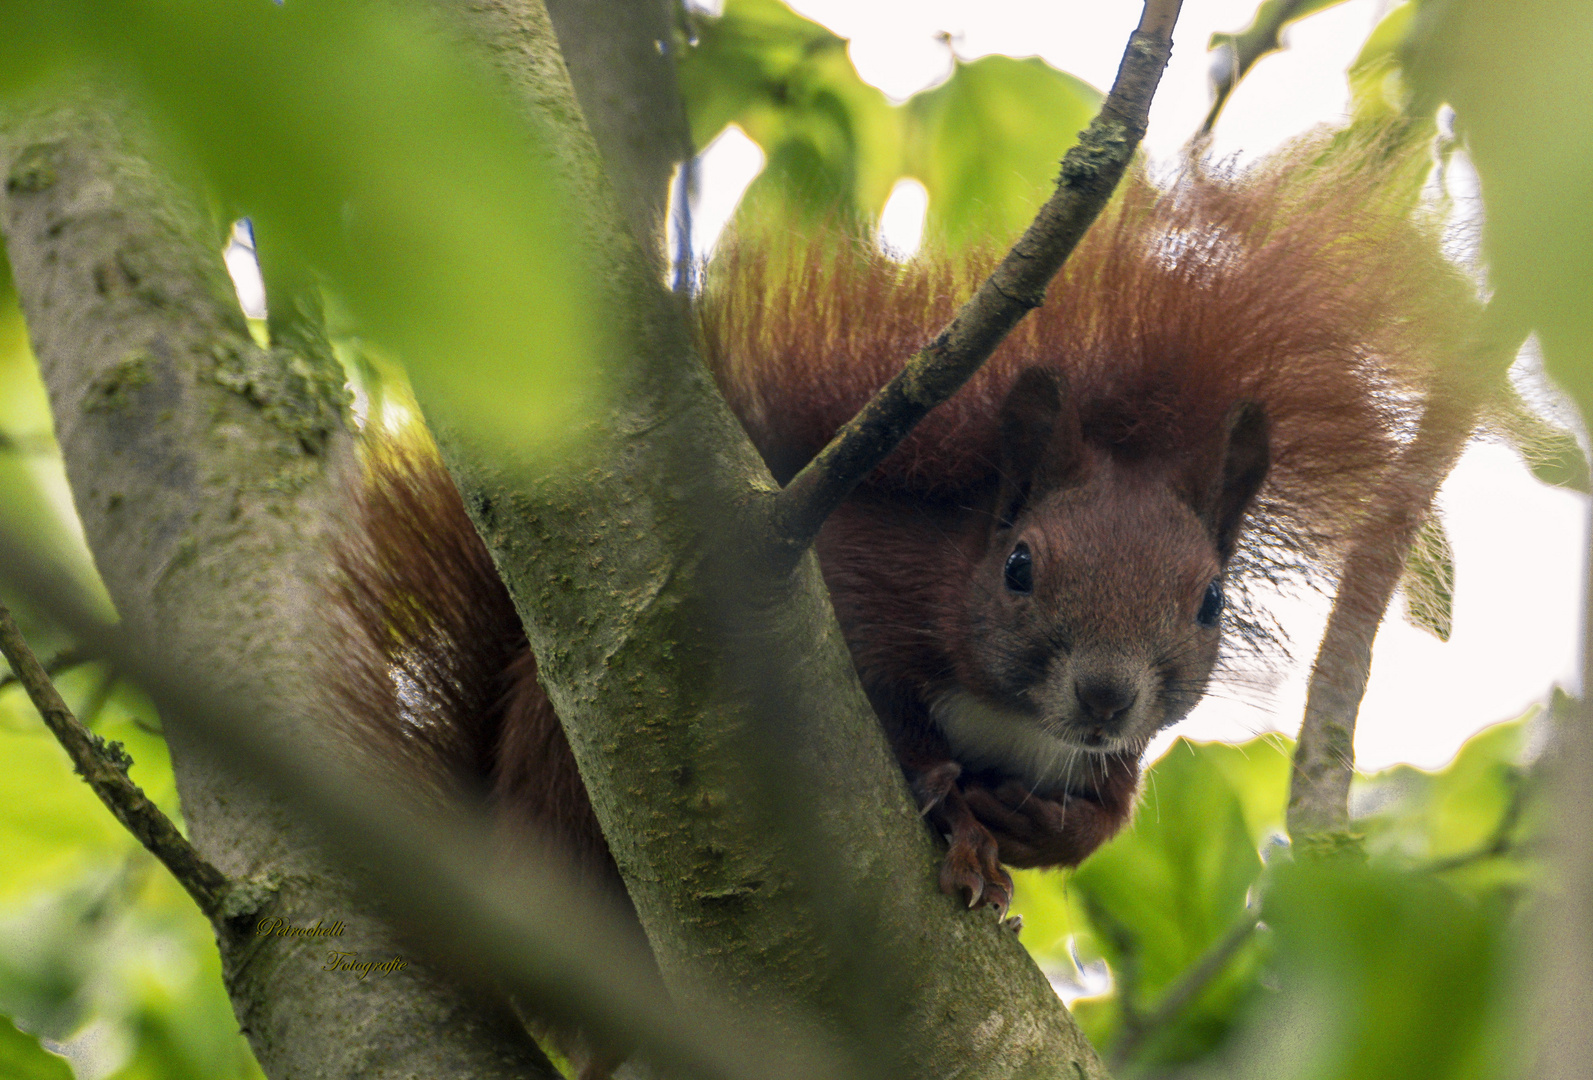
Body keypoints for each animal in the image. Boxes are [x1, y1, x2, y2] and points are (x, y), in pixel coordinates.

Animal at [329, 137, 1471, 923]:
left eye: (1210, 601)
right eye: (1018, 566)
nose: (1105, 695)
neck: (1009, 714)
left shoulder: (1110, 752)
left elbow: (1108, 815)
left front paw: (1039, 824)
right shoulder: (857, 588)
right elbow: (887, 715)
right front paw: (958, 817)